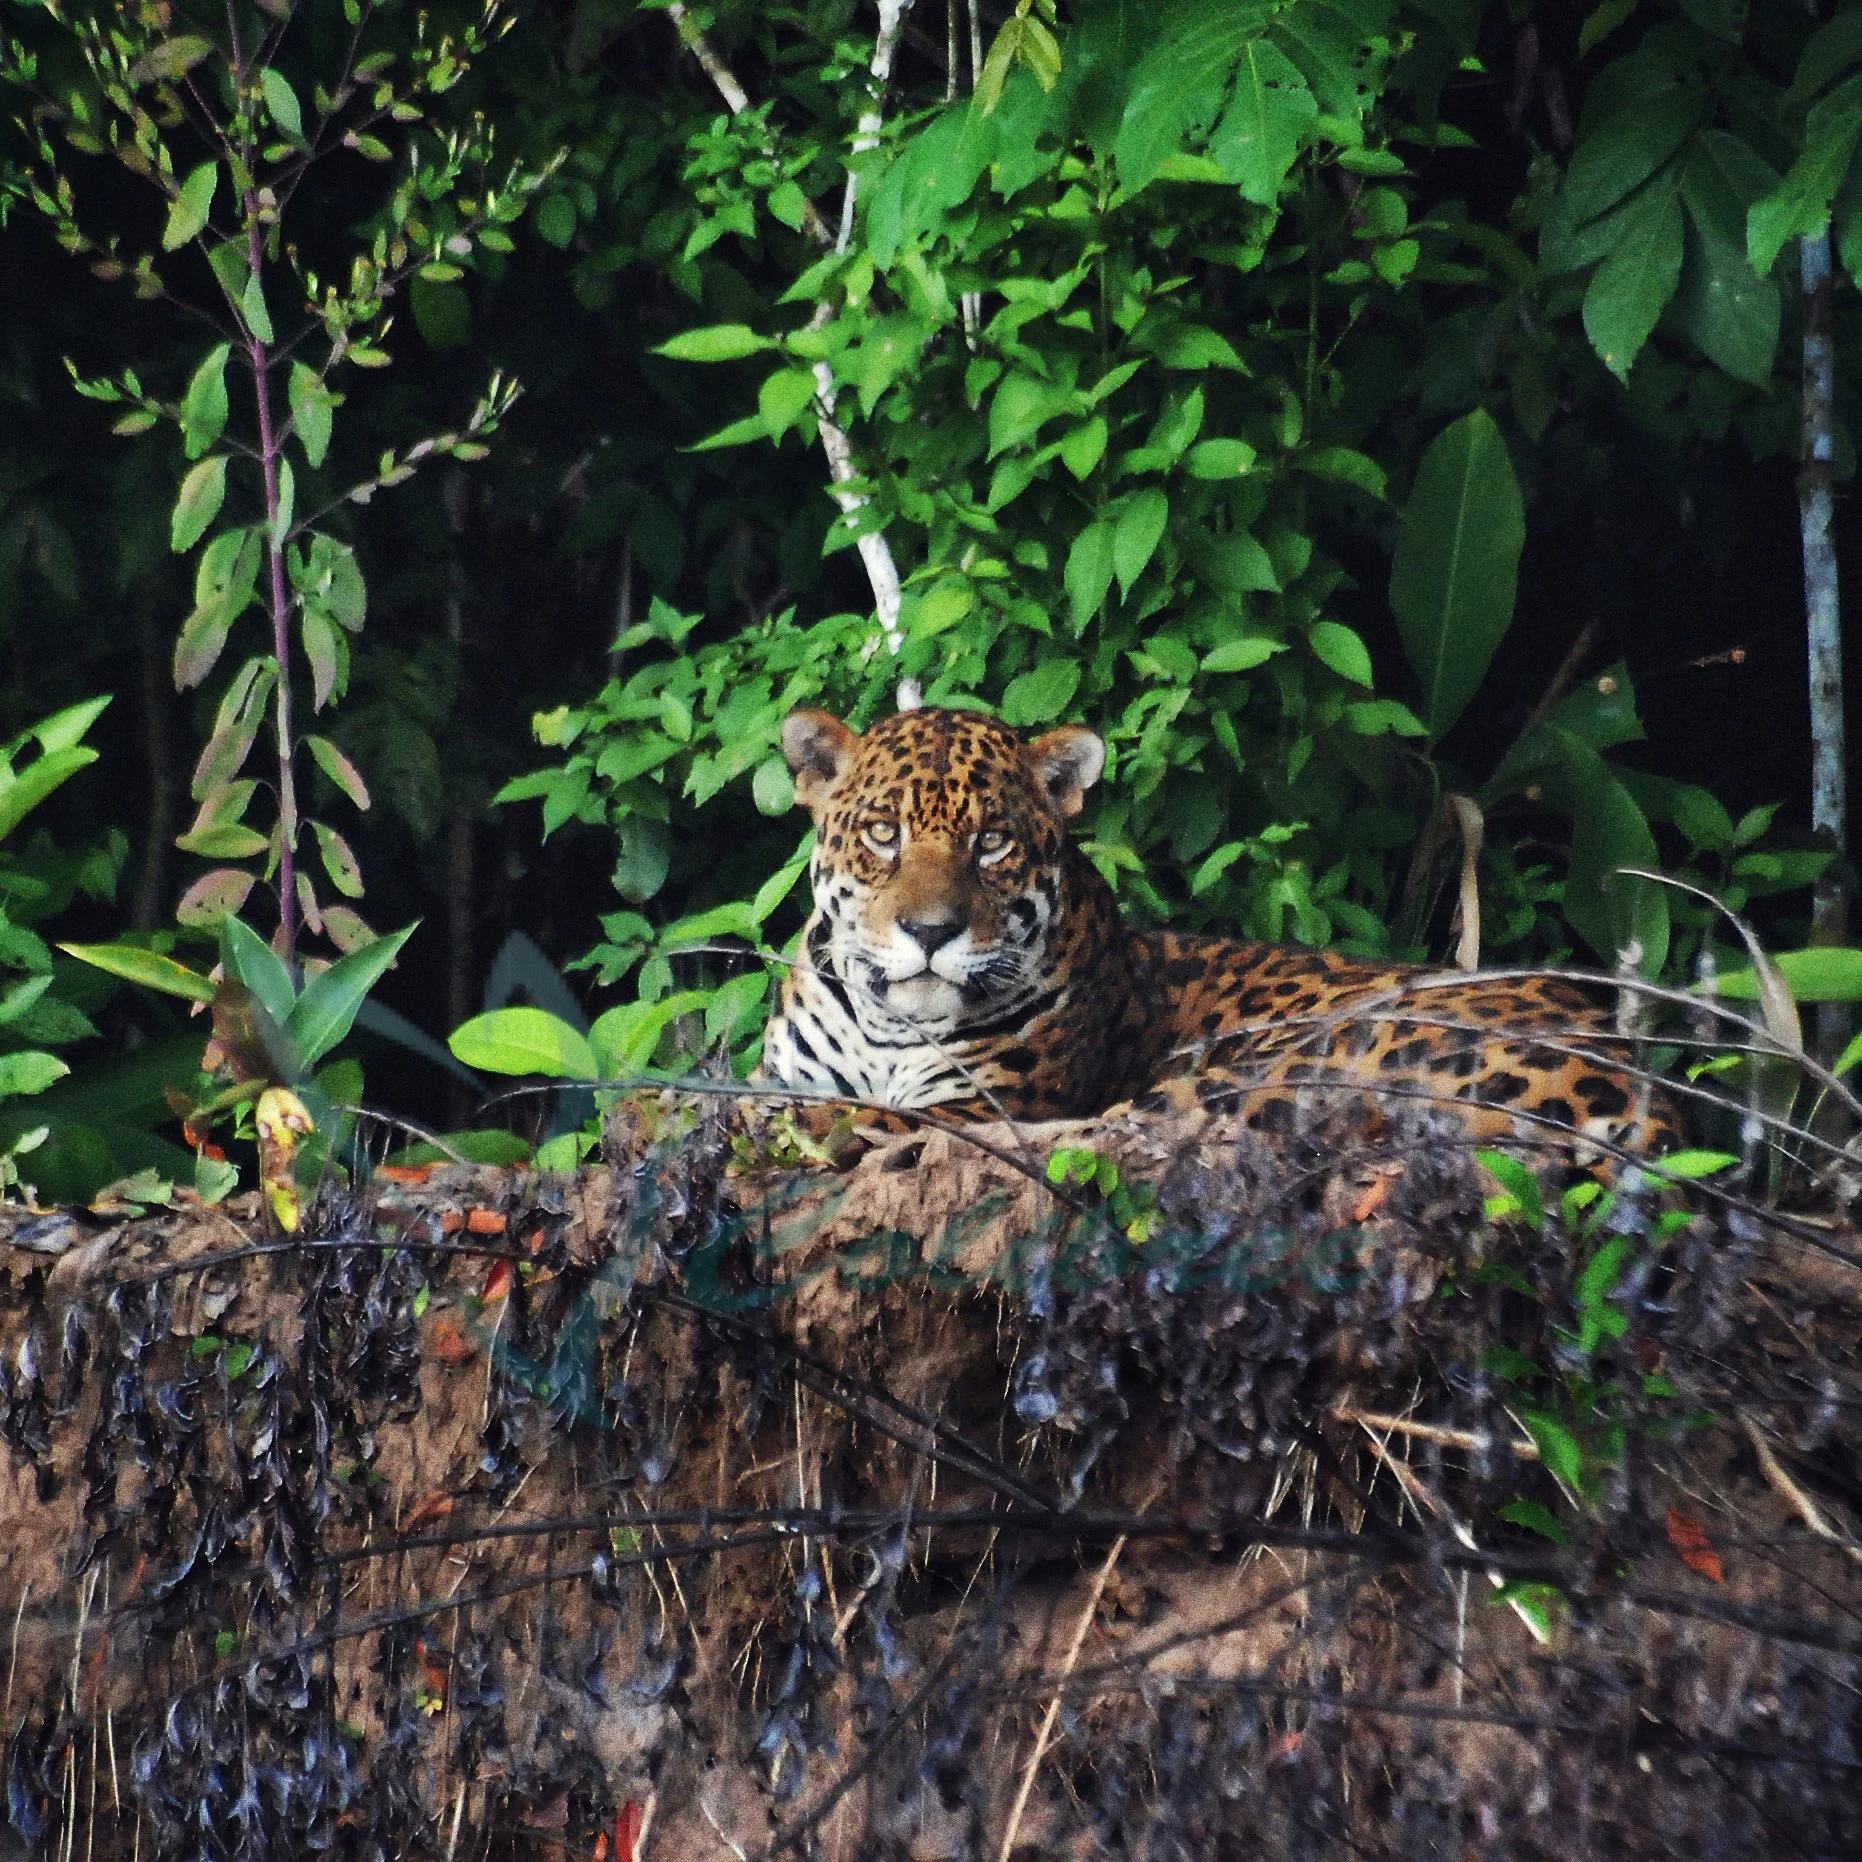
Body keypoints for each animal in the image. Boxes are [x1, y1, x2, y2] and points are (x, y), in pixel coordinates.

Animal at [755, 703, 1679, 1161]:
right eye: (883, 834)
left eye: (992, 843)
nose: (931, 931)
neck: (888, 1028)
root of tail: (1642, 1087)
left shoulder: (985, 1102)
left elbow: (847, 1118)